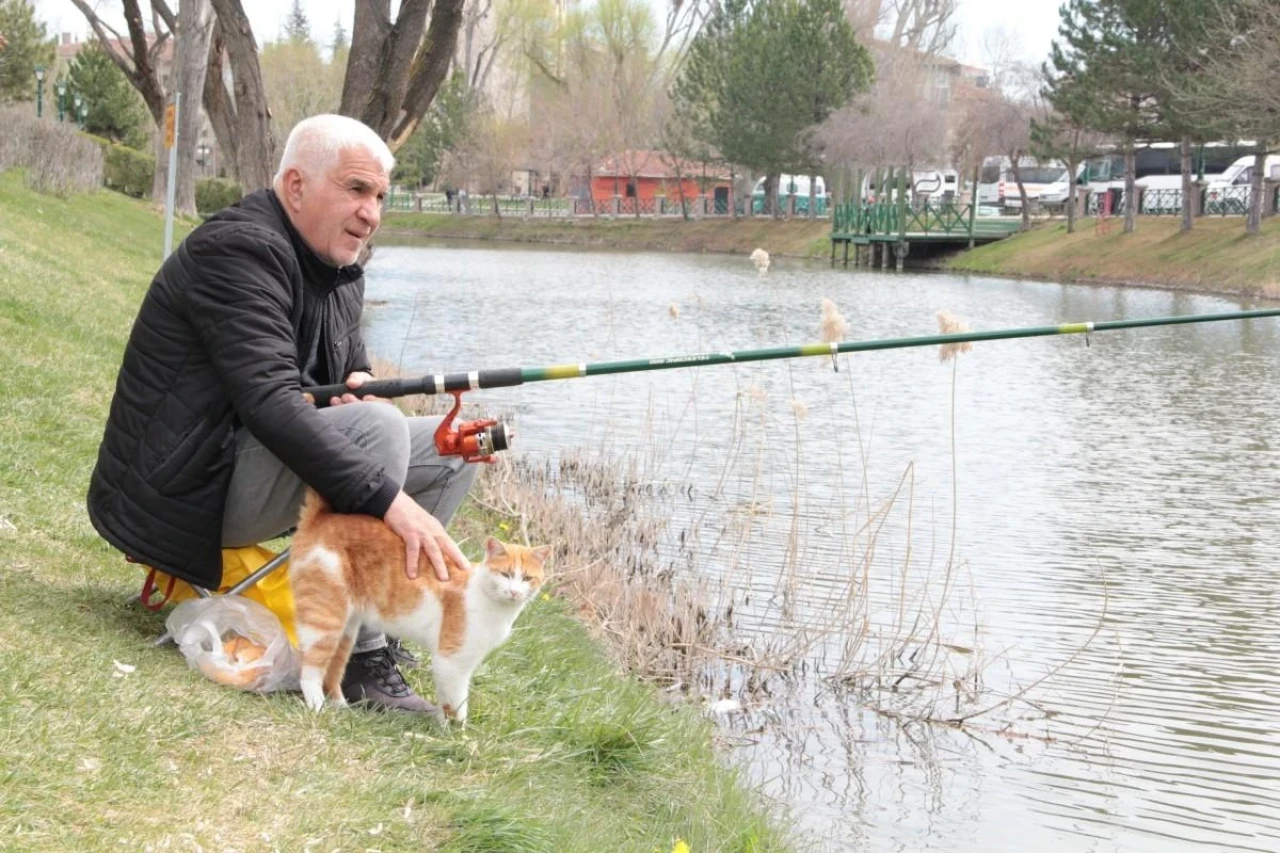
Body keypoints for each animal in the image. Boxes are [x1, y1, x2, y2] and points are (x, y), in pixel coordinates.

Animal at [290, 489, 550, 722]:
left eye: (527, 578)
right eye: (506, 574)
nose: (515, 592)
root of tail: (322, 517)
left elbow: (450, 700)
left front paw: (446, 727)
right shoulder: (451, 661)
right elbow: (455, 703)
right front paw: (456, 735)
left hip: (347, 630)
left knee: (333, 671)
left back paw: (340, 707)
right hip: (326, 619)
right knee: (310, 669)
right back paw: (317, 707)